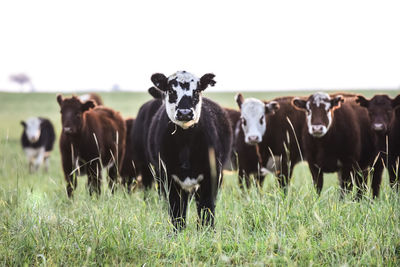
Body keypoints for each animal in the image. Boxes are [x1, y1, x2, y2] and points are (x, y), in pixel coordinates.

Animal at [148, 71, 233, 232]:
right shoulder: (169, 178)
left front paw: (207, 231)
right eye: (171, 91)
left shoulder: (211, 175)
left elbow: (207, 207)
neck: (185, 143)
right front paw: (178, 232)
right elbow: (177, 211)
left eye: (197, 90)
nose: (185, 112)